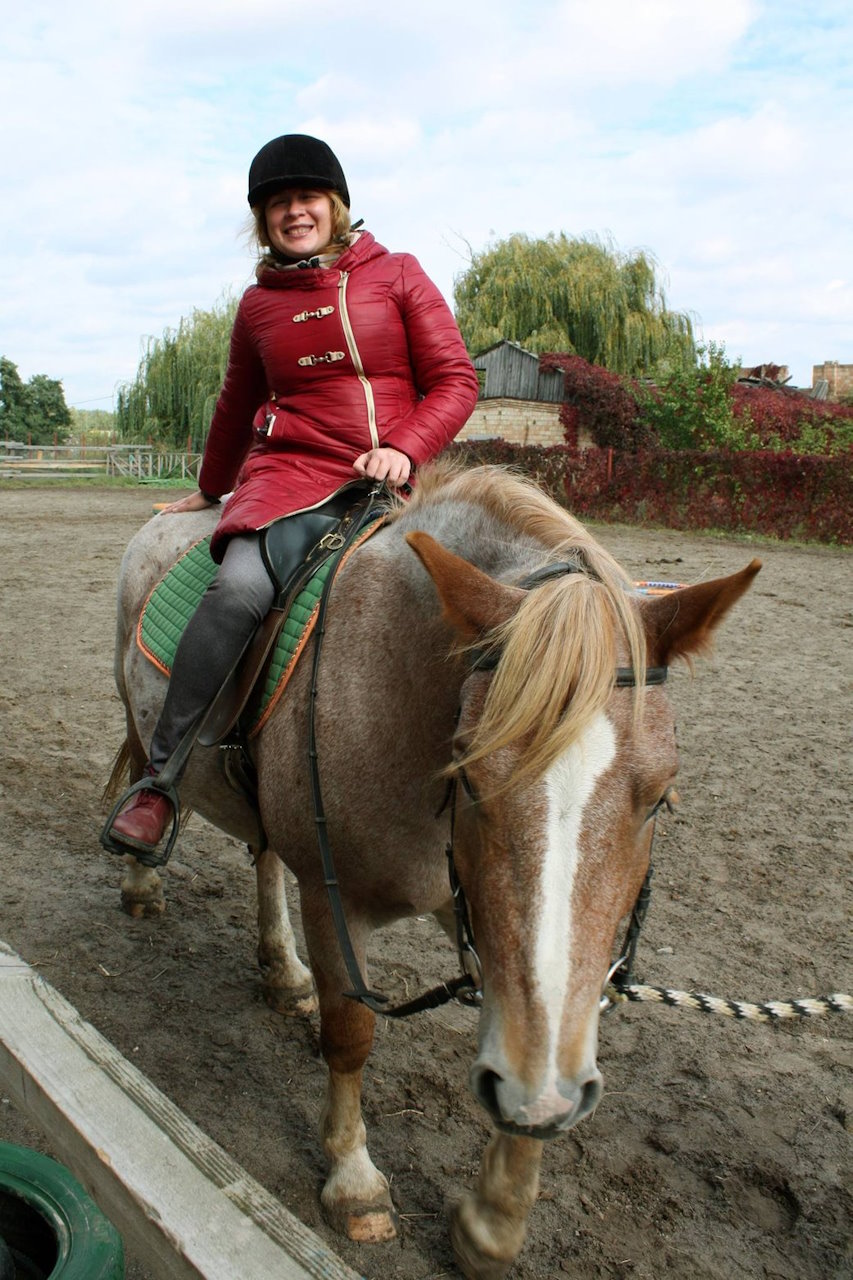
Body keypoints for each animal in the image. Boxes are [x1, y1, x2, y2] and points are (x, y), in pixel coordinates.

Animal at [106, 463, 758, 1280]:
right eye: (469, 776)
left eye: (662, 796)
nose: (549, 1095)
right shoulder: (338, 901)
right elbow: (352, 1033)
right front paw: (355, 1183)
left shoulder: (477, 909)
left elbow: (527, 1014)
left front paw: (493, 1220)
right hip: (142, 720)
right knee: (150, 765)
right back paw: (141, 871)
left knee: (265, 860)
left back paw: (284, 973)